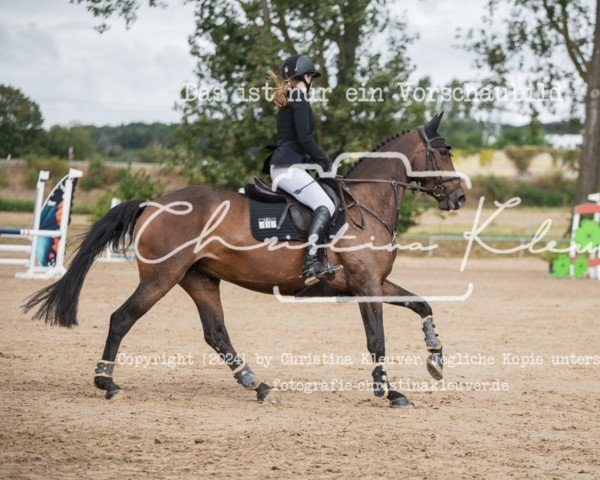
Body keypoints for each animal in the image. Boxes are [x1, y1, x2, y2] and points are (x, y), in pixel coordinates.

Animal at [23, 112, 466, 408]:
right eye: (444, 152)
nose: (459, 197)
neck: (368, 202)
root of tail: (154, 204)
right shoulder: (365, 285)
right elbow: (377, 340)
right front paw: (390, 392)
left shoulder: (375, 283)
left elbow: (421, 303)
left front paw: (436, 357)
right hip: (161, 278)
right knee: (121, 319)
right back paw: (107, 383)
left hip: (199, 279)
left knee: (216, 334)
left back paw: (259, 385)